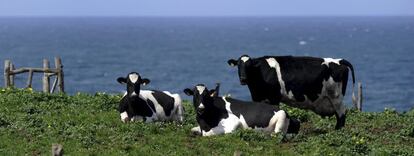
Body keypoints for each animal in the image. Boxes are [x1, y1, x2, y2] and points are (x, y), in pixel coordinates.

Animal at [226, 54, 356, 129]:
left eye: (249, 66)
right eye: (239, 66)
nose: (243, 79)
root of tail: (339, 61)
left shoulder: (274, 98)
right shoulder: (257, 98)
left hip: (336, 97)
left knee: (341, 115)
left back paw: (338, 131)